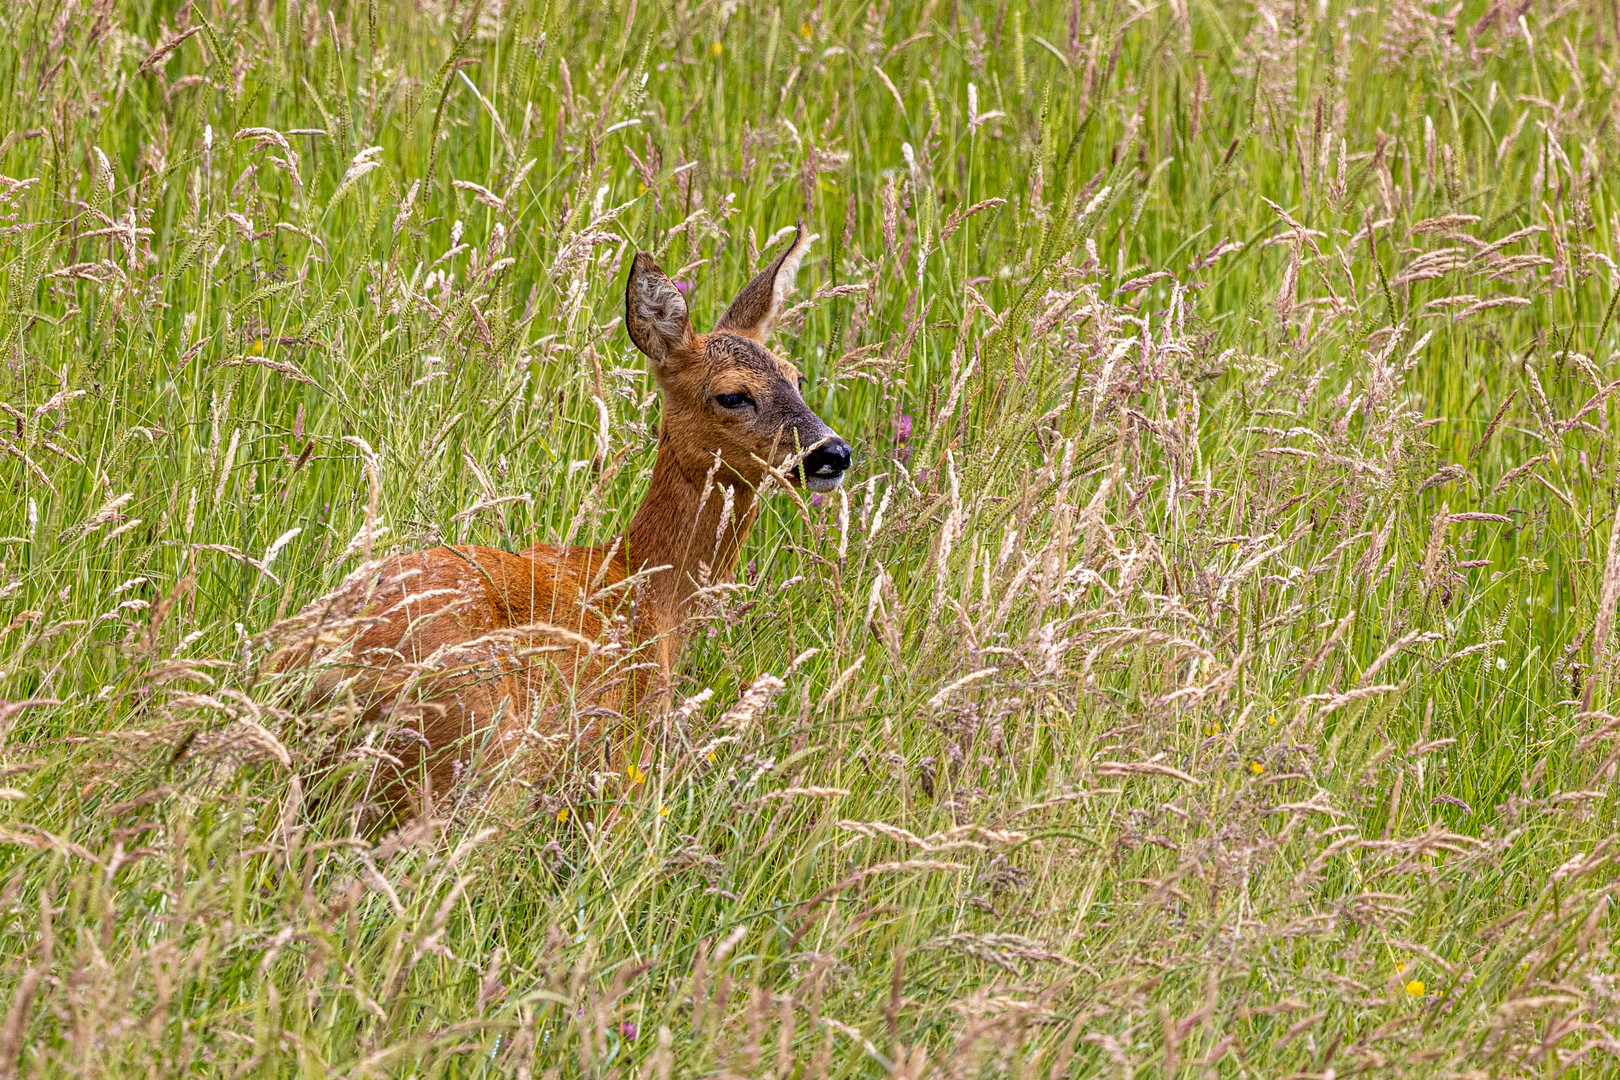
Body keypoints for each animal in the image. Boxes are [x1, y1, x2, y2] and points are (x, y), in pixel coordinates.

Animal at [280, 229, 855, 819]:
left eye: (798, 379)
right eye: (733, 395)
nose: (833, 453)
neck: (648, 590)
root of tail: (321, 673)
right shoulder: (627, 758)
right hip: (472, 760)